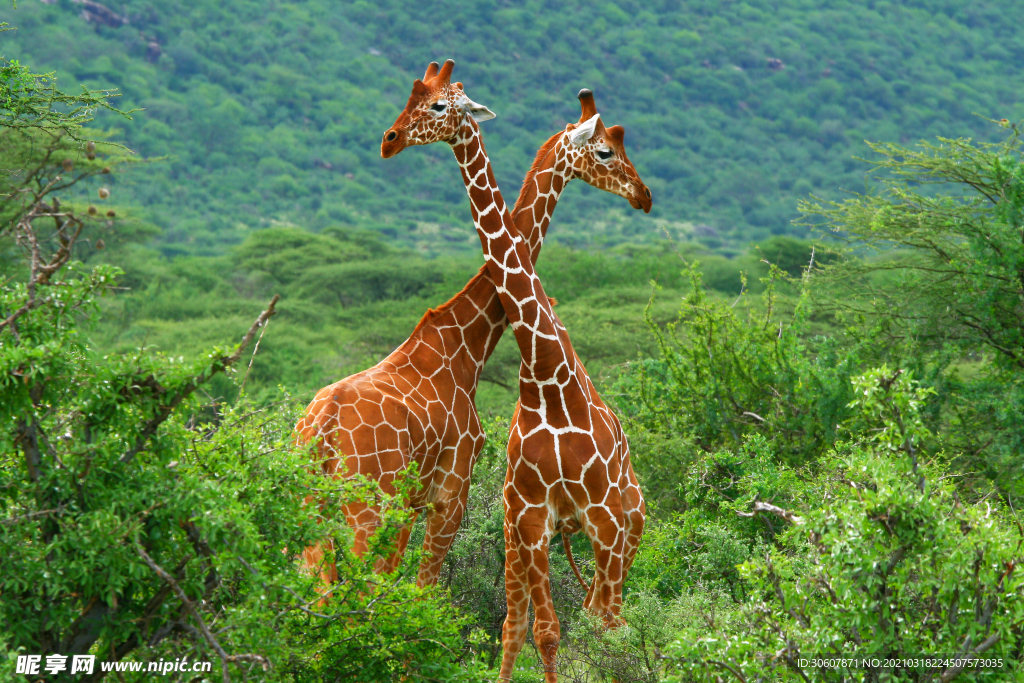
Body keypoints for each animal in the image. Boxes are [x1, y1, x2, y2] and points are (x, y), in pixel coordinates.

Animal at [296, 63, 647, 589]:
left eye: (434, 103)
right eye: (606, 149)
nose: (643, 194)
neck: (467, 344)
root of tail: (321, 428)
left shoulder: (415, 501)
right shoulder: (451, 491)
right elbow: (422, 590)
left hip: (310, 504)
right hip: (365, 506)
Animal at [380, 60, 651, 683]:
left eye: (438, 105)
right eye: (606, 150)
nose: (645, 196)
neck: (547, 376)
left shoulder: (602, 517)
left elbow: (591, 627)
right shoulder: (527, 516)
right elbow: (540, 630)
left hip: (627, 525)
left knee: (613, 617)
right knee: (537, 619)